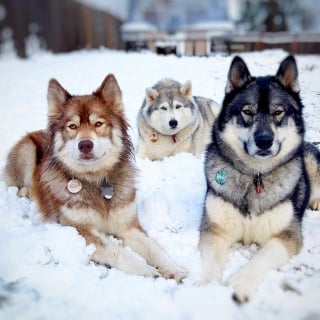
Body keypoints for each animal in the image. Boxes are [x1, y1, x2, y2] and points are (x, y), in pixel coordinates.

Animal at [198, 56, 320, 304]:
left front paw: (238, 284)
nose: (264, 140)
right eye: (247, 111)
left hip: (311, 159)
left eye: (278, 112)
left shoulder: (286, 236)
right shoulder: (215, 229)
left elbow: (261, 257)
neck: (255, 176)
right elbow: (210, 263)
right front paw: (204, 290)